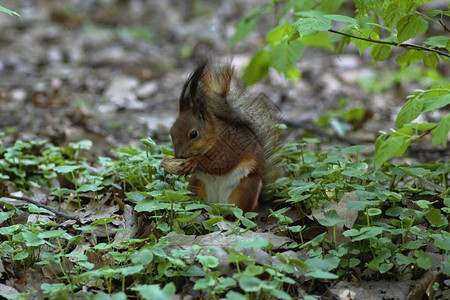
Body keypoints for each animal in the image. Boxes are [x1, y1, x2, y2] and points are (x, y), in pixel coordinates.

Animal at [171, 60, 280, 211]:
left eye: (193, 134)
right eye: (171, 132)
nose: (179, 156)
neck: (214, 136)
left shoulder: (229, 147)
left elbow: (219, 164)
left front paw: (194, 161)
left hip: (245, 187)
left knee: (240, 210)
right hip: (196, 184)